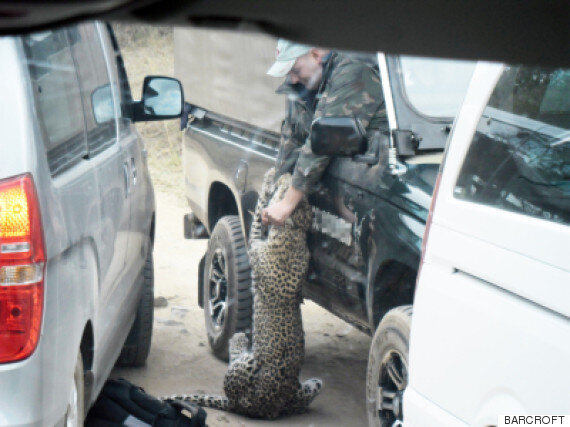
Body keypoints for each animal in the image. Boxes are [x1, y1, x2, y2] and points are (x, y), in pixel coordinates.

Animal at [162, 169, 322, 420]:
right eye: (291, 194)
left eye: (284, 192)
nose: (288, 177)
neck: (294, 233)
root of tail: (262, 408)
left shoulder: (253, 243)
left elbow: (257, 216)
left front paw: (267, 180)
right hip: (312, 385)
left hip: (248, 371)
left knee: (233, 374)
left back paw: (239, 339)